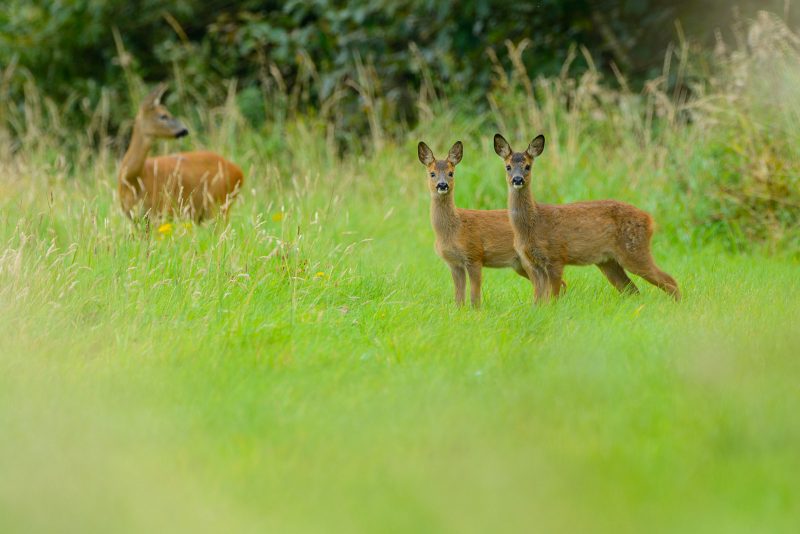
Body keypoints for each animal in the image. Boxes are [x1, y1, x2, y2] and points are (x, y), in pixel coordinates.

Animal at [118, 85, 244, 223]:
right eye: (163, 116)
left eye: (166, 113)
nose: (184, 130)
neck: (133, 179)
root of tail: (240, 173)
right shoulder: (133, 216)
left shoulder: (161, 209)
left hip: (219, 203)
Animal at [494, 134, 680, 306]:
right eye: (508, 167)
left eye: (528, 166)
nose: (518, 179)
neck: (532, 225)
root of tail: (650, 220)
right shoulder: (532, 263)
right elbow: (538, 300)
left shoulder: (556, 257)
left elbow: (552, 298)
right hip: (609, 261)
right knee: (633, 289)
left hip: (634, 250)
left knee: (669, 281)